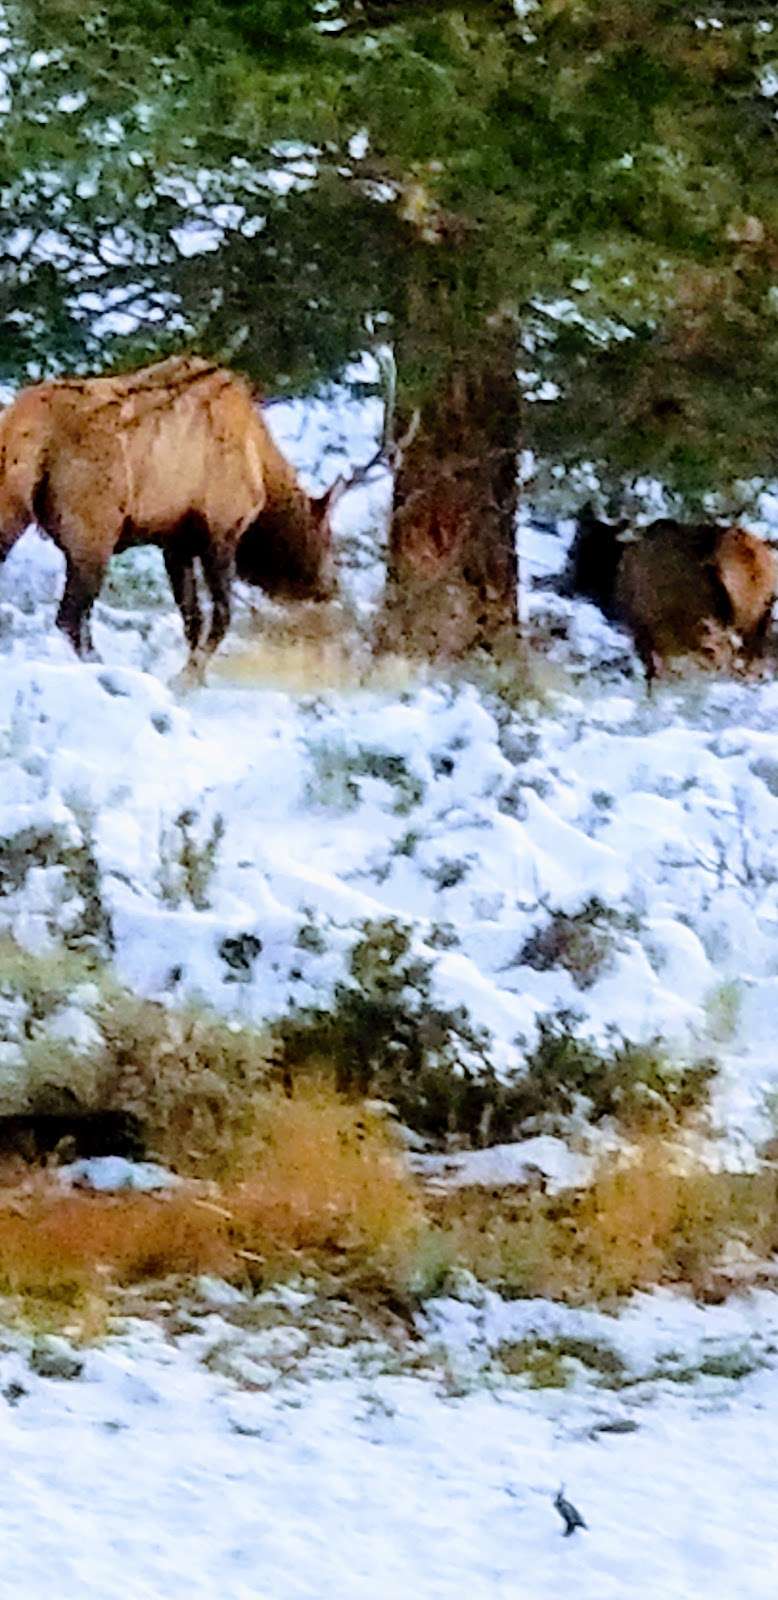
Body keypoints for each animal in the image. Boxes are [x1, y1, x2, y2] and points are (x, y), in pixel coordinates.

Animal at [0, 353, 406, 678]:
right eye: (326, 535)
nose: (330, 585)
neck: (261, 470)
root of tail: (24, 425)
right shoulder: (221, 529)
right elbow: (221, 618)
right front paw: (187, 681)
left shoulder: (174, 540)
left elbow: (192, 620)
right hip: (93, 529)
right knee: (70, 617)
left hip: (13, 508)